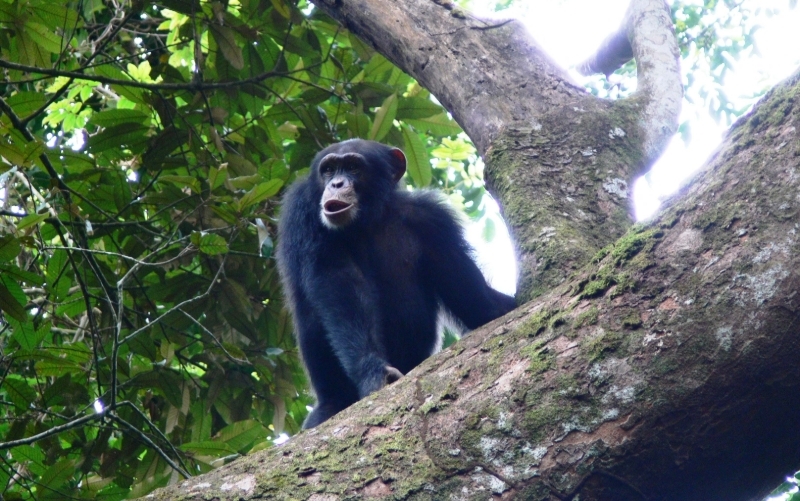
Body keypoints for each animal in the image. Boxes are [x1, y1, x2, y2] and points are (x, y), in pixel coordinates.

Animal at [276, 139, 520, 428]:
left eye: (353, 167)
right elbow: (337, 283)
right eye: (328, 169)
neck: (369, 218)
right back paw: (331, 404)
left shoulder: (434, 222)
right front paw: (373, 371)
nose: (336, 183)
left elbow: (471, 297)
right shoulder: (302, 209)